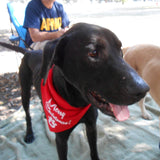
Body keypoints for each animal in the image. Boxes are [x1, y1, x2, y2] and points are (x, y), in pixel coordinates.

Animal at [0, 22, 149, 160]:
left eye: (120, 50)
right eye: (93, 53)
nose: (144, 89)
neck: (77, 102)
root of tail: (29, 51)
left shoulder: (91, 127)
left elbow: (94, 151)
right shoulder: (61, 140)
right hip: (25, 91)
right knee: (27, 114)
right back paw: (29, 133)